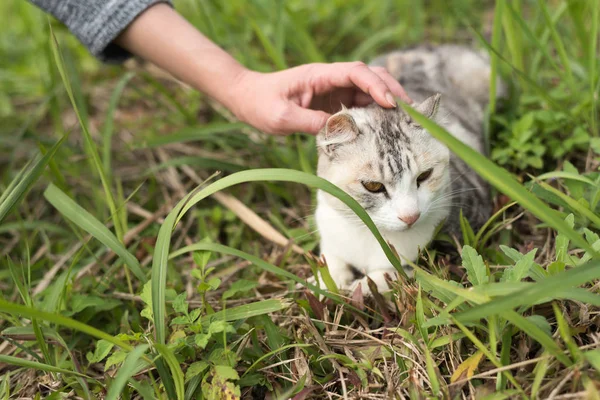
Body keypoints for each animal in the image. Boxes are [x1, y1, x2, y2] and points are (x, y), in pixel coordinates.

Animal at [314, 44, 506, 294]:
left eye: (424, 175)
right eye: (373, 186)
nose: (410, 217)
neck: (369, 235)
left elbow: (395, 275)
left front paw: (360, 287)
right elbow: (329, 261)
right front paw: (324, 282)